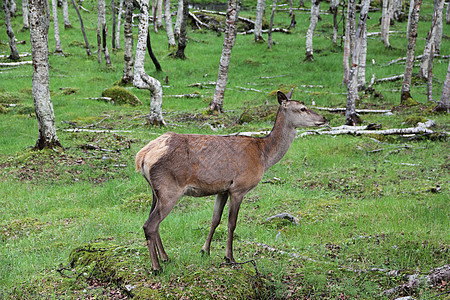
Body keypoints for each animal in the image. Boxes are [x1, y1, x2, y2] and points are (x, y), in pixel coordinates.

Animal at [134, 90, 326, 274]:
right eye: (302, 108)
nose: (324, 118)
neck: (263, 156)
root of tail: (142, 155)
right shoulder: (239, 188)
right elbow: (231, 223)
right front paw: (229, 258)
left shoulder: (223, 189)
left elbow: (215, 219)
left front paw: (205, 250)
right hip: (169, 189)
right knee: (149, 225)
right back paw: (156, 267)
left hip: (155, 190)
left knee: (153, 221)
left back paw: (165, 257)